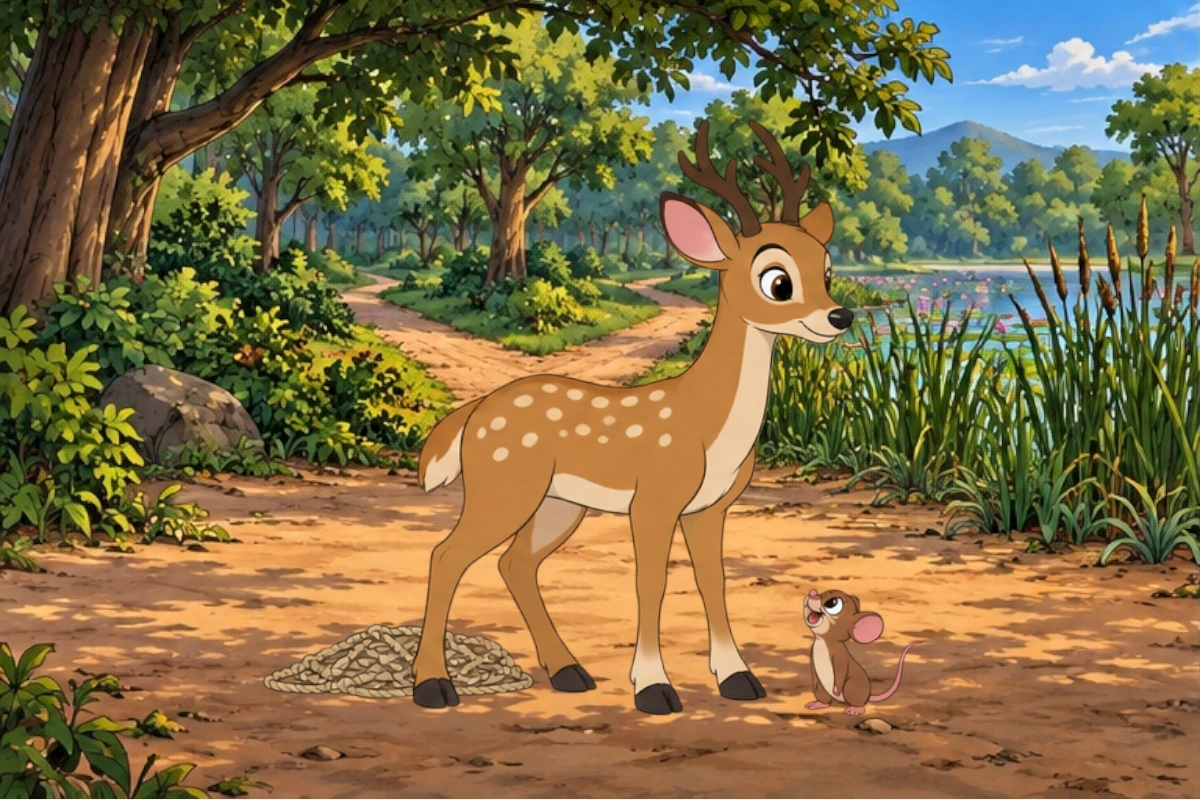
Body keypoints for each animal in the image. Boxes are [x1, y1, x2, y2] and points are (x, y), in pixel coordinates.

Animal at [410, 119, 852, 715]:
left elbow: (713, 582)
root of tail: (474, 413)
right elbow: (651, 584)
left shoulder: (710, 508)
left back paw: (569, 672)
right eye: (777, 280)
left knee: (514, 563)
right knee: (446, 555)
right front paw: (654, 689)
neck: (706, 422)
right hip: (502, 486)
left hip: (558, 502)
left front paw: (739, 679)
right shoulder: (654, 499)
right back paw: (434, 686)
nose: (840, 316)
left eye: (827, 267)